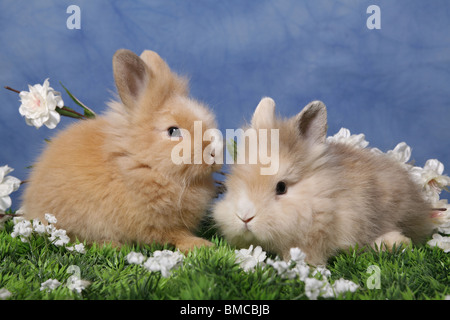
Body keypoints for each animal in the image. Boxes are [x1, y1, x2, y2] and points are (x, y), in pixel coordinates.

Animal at [23, 48, 223, 252]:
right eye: (173, 131)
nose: (214, 154)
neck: (140, 164)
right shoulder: (154, 225)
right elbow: (175, 235)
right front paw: (202, 244)